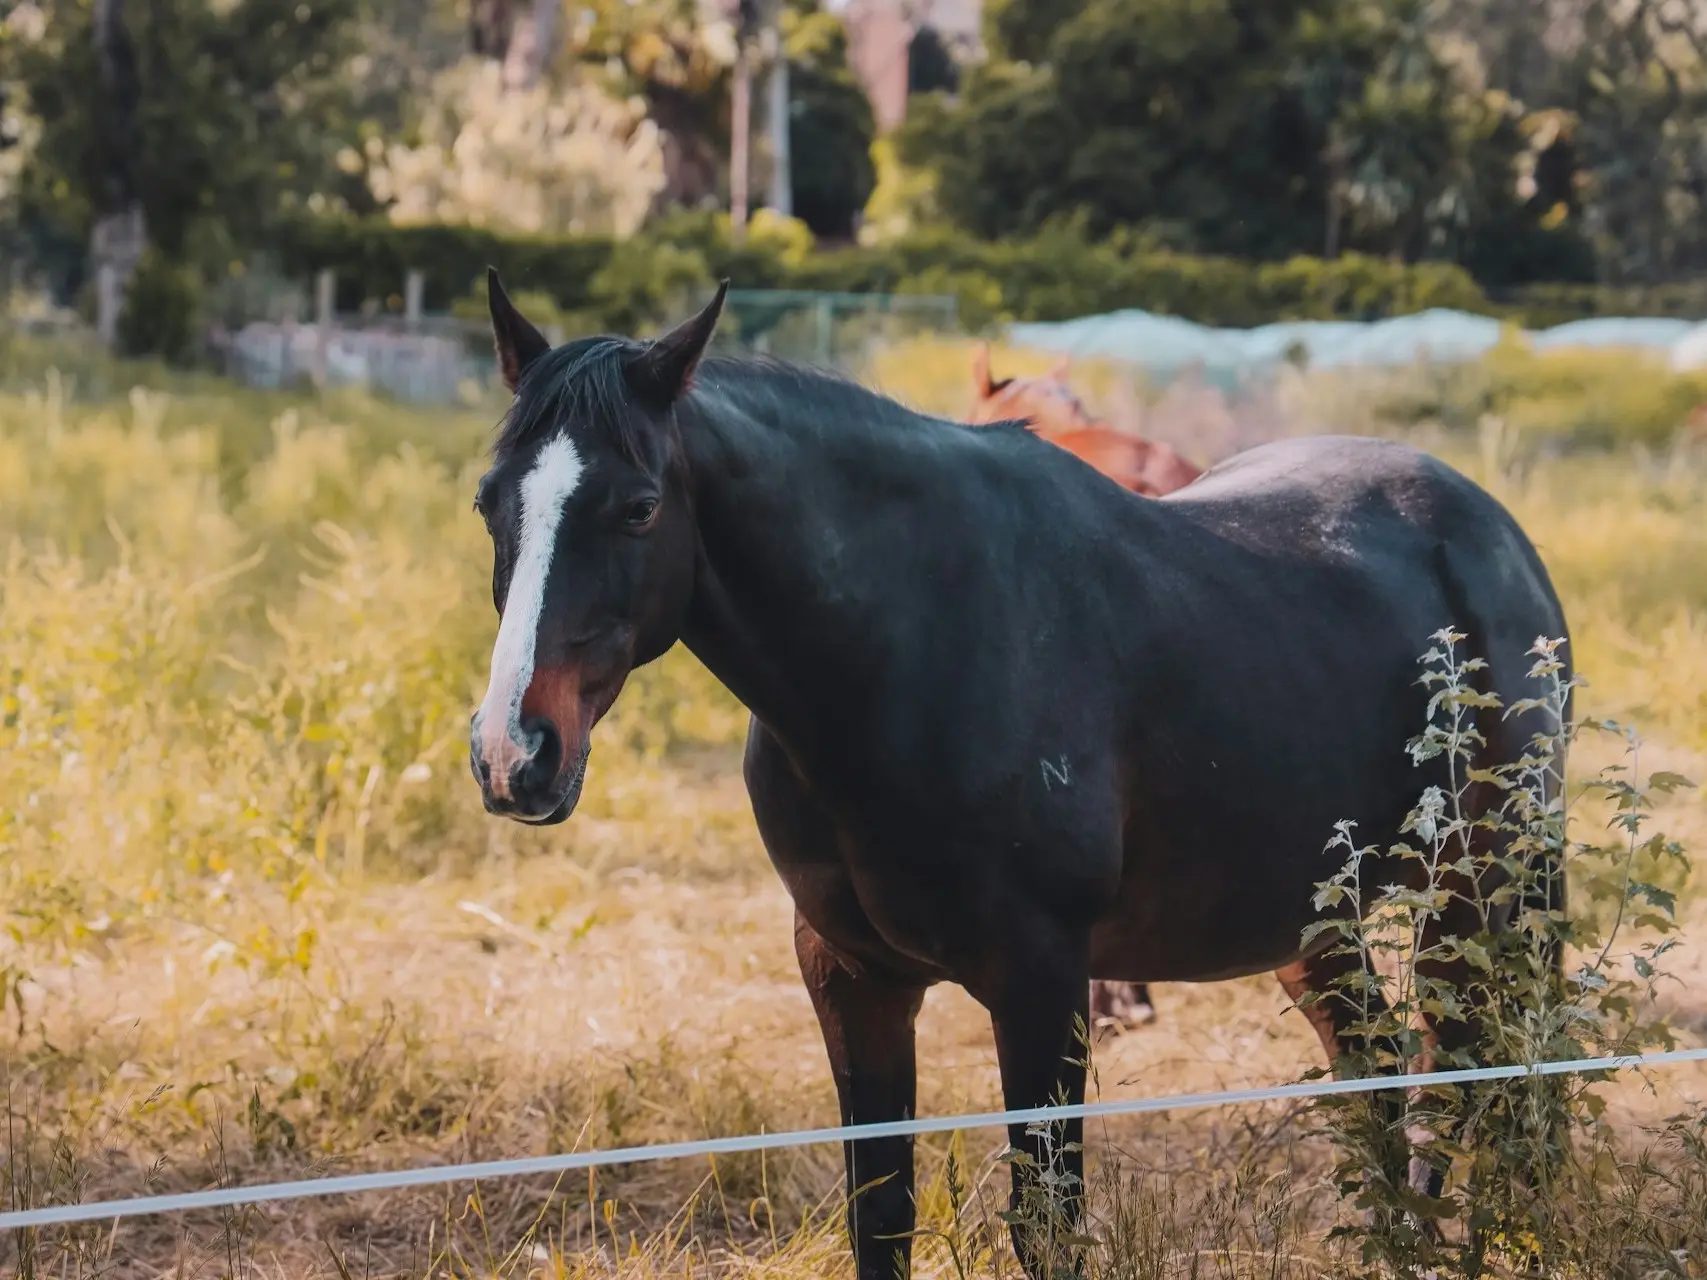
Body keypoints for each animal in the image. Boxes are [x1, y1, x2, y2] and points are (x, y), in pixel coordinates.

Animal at [467, 276, 1570, 1276]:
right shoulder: (848, 974)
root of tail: (1490, 527)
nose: (515, 751)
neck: (905, 645)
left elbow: (1046, 1225)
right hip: (1312, 918)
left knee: (1488, 1073)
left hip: (1486, 890)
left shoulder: (1041, 982)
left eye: (640, 508)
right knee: (1381, 1069)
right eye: (488, 501)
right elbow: (881, 1218)